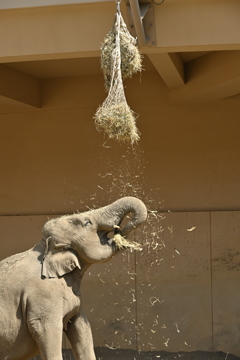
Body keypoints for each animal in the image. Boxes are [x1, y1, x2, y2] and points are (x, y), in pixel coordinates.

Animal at [0, 197, 146, 360]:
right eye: (87, 223)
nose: (119, 230)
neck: (43, 248)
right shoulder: (43, 298)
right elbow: (47, 331)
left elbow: (81, 328)